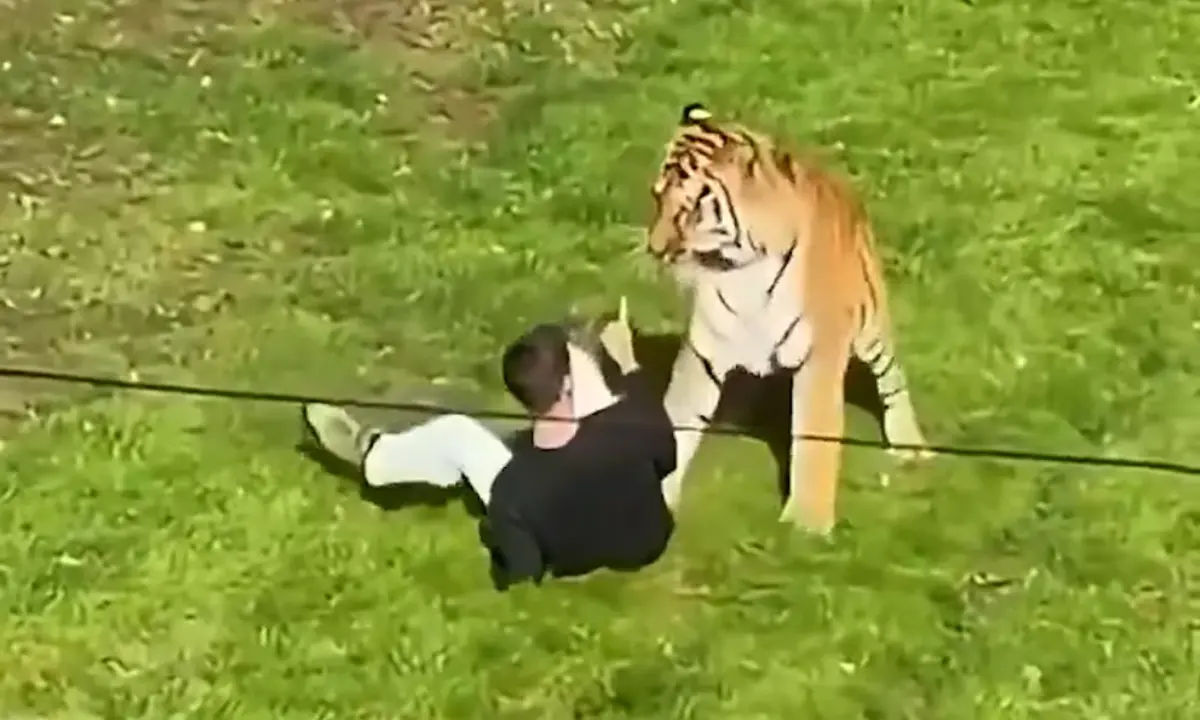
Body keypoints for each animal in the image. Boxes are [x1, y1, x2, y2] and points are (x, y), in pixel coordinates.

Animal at [645, 102, 933, 534]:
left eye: (689, 210)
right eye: (657, 198)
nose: (654, 249)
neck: (740, 268)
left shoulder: (821, 354)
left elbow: (813, 437)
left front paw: (807, 524)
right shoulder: (704, 350)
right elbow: (679, 417)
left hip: (871, 328)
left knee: (892, 378)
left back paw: (909, 444)